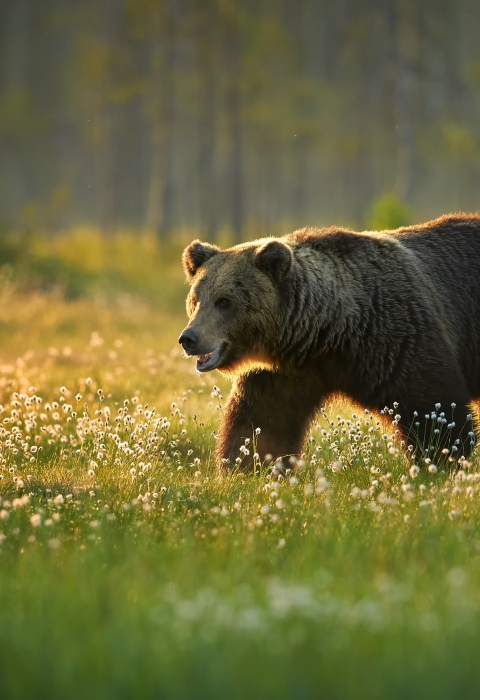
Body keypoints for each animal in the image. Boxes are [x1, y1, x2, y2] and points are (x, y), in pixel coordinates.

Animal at [179, 214, 480, 469]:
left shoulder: (397, 339)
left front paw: (443, 460)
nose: (189, 338)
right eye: (196, 299)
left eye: (224, 301)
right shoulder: (280, 374)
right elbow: (261, 422)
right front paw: (246, 466)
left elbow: (432, 407)